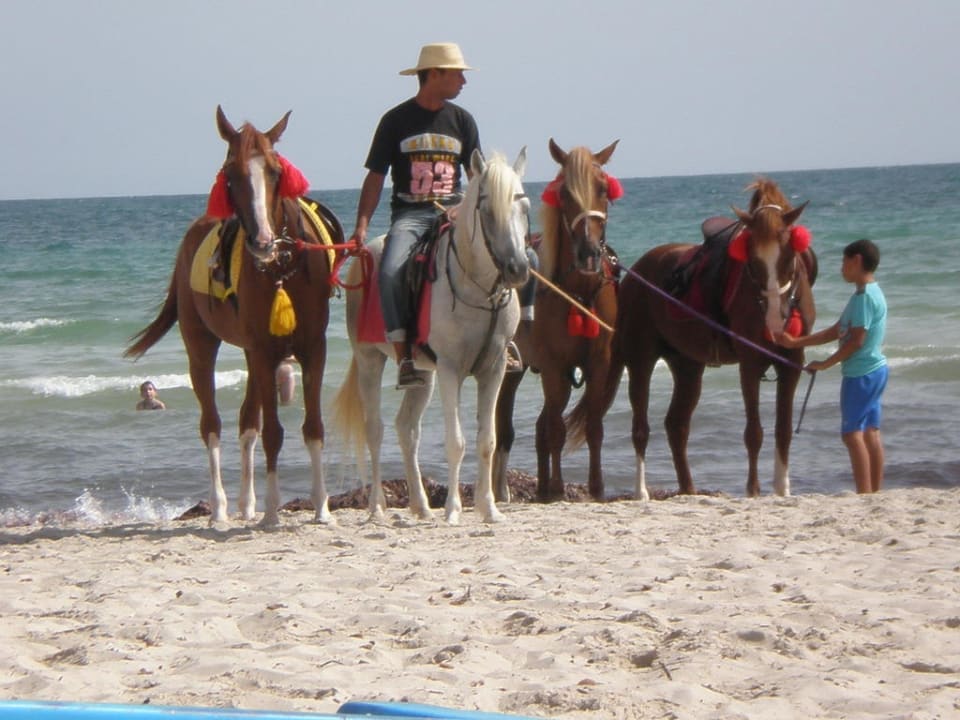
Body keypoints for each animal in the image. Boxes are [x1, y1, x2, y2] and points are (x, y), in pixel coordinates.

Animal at [125, 106, 345, 526]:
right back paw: (220, 508)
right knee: (212, 425)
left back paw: (246, 502)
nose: (261, 242)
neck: (282, 266)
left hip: (251, 353)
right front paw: (273, 510)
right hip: (202, 346)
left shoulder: (312, 348)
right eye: (230, 174)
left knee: (247, 424)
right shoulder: (263, 350)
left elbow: (313, 427)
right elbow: (274, 431)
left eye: (275, 171)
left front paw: (322, 507)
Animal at [332, 149, 531, 524]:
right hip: (369, 360)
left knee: (407, 429)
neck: (478, 288)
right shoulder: (452, 370)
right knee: (375, 430)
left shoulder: (494, 369)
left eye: (524, 208)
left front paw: (489, 508)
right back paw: (377, 506)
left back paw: (421, 505)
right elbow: (457, 442)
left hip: (422, 374)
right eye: (487, 211)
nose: (518, 269)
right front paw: (453, 510)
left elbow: (487, 440)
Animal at [493, 138, 621, 502]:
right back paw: (503, 489)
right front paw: (559, 488)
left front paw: (596, 488)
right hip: (513, 369)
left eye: (603, 188)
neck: (579, 292)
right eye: (564, 193)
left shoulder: (599, 362)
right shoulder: (553, 367)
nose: (589, 253)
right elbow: (556, 430)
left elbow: (593, 426)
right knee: (505, 426)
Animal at [610, 177, 817, 498]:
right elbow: (754, 433)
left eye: (789, 255)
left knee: (676, 426)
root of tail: (634, 274)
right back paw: (640, 491)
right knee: (640, 428)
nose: (775, 319)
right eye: (752, 259)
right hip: (640, 359)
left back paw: (688, 489)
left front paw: (782, 489)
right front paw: (753, 490)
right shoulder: (750, 363)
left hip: (687, 365)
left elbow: (783, 430)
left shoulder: (791, 362)